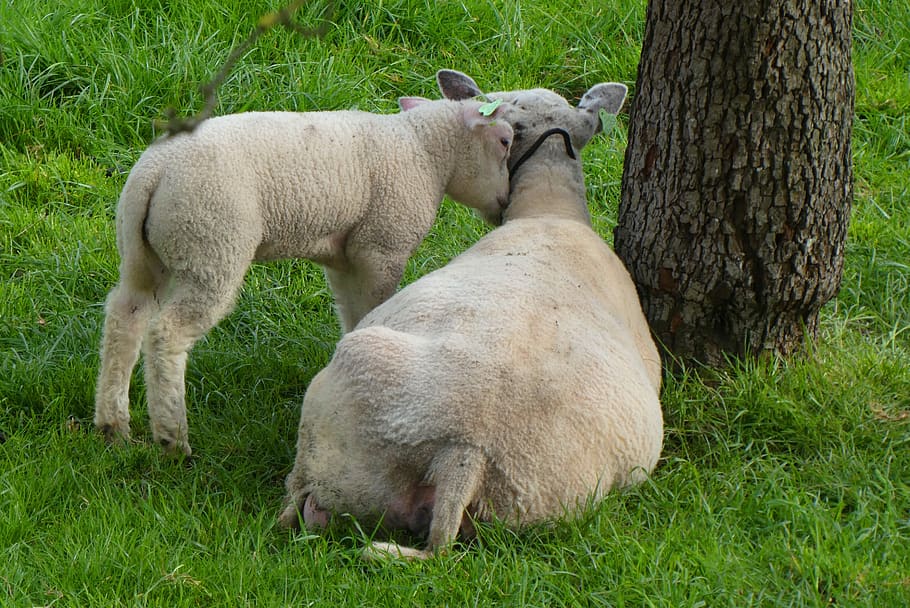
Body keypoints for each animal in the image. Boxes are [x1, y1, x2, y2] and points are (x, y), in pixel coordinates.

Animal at [93, 87, 514, 456]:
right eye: (506, 141)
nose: (505, 205)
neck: (425, 151)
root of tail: (154, 172)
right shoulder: (382, 246)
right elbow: (375, 307)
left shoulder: (345, 257)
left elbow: (354, 315)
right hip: (212, 246)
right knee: (168, 332)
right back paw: (172, 439)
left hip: (144, 252)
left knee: (125, 316)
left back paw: (113, 425)